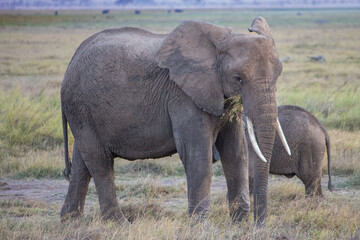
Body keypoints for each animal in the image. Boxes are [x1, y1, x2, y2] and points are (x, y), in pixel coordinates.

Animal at [60, 16, 288, 227]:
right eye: (238, 78)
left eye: (278, 75)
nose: (259, 225)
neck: (219, 43)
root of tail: (71, 62)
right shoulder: (182, 95)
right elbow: (197, 154)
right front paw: (201, 228)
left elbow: (236, 152)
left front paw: (240, 225)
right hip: (80, 105)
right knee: (100, 161)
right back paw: (119, 224)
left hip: (83, 111)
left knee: (83, 161)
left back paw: (70, 221)